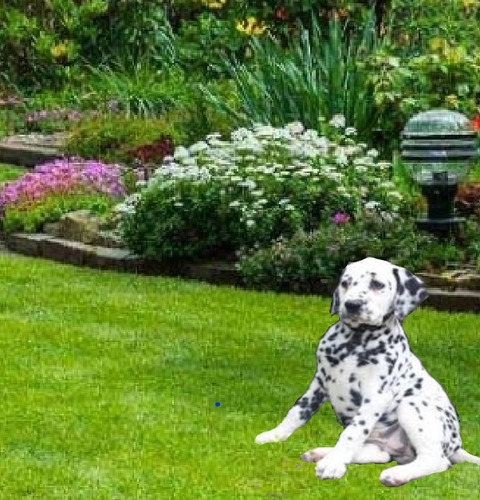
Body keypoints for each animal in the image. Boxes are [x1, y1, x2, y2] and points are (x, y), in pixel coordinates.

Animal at [255, 260, 480, 486]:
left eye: (377, 284)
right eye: (346, 283)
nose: (352, 305)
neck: (354, 342)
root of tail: (457, 446)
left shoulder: (376, 396)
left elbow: (351, 433)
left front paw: (333, 464)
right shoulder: (318, 385)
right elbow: (297, 412)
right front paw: (274, 435)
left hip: (412, 405)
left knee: (436, 460)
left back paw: (395, 474)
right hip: (382, 442)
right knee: (379, 454)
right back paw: (321, 453)